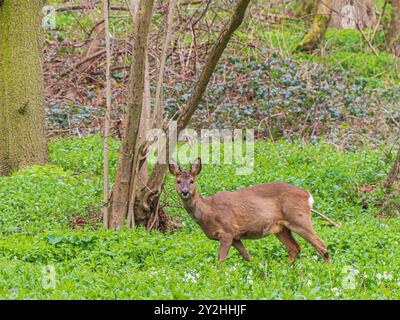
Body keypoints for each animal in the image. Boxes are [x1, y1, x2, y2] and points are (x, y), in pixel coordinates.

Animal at [169, 158, 332, 264]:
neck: (208, 211)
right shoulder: (235, 236)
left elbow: (220, 261)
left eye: (192, 181)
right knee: (295, 248)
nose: (184, 192)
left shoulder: (227, 231)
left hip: (299, 218)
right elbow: (248, 257)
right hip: (281, 228)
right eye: (178, 181)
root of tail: (307, 195)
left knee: (321, 245)